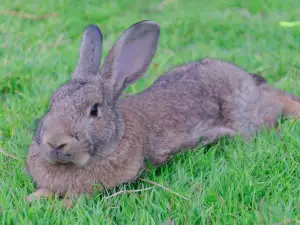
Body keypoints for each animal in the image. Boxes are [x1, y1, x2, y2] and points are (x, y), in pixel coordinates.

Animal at [25, 20, 300, 201]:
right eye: (52, 103)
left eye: (94, 111)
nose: (55, 142)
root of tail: (250, 82)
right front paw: (32, 200)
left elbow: (73, 201)